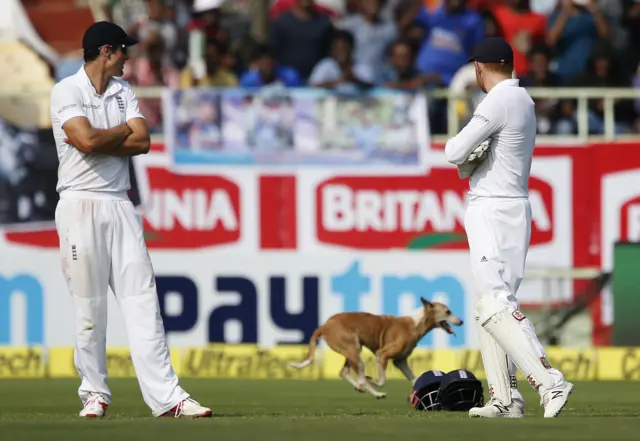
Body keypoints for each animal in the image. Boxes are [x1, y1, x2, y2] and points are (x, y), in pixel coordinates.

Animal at [288, 298, 462, 398]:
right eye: (448, 311)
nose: (461, 321)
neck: (415, 322)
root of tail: (324, 325)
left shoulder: (401, 361)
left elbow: (415, 379)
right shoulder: (382, 354)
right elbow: (382, 380)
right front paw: (372, 381)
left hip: (352, 351)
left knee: (344, 372)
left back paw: (363, 388)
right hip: (354, 350)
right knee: (359, 377)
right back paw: (372, 390)